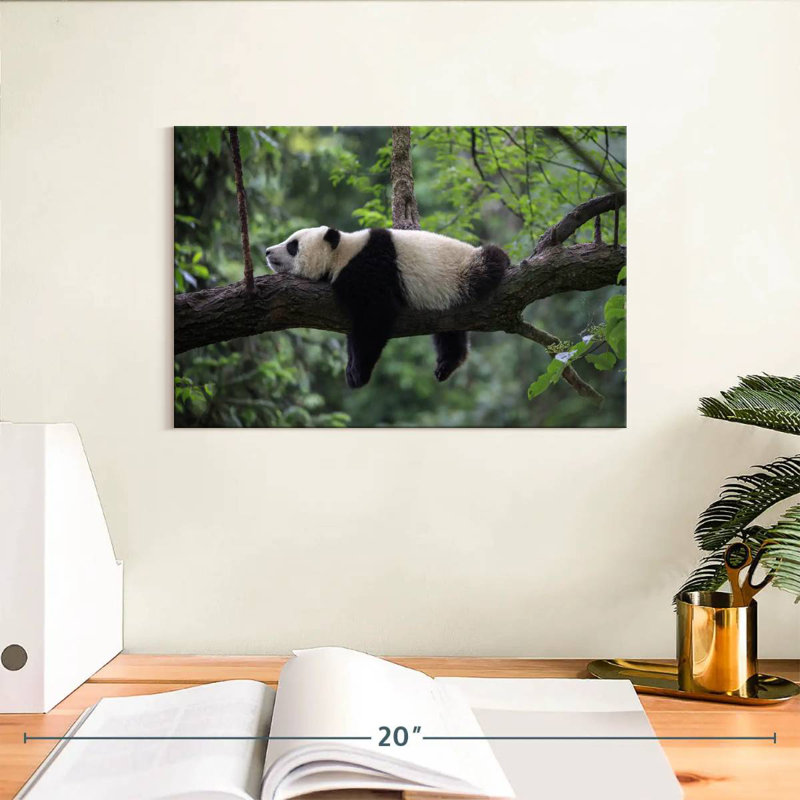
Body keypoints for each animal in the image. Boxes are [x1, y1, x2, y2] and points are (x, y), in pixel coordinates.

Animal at [264, 227, 509, 388]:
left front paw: (358, 373)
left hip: (463, 271)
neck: (343, 252)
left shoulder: (370, 270)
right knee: (449, 333)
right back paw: (447, 364)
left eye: (292, 246)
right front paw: (351, 368)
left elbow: (374, 318)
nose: (267, 251)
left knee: (490, 262)